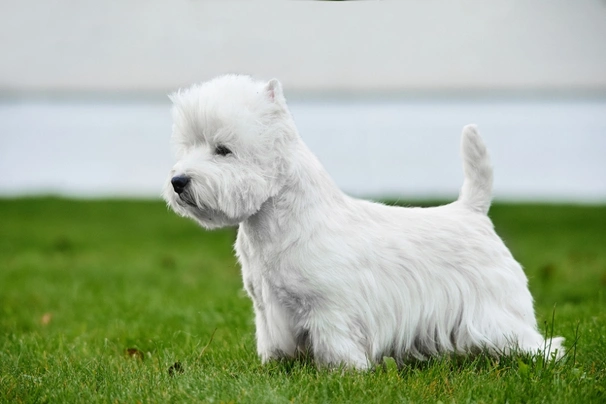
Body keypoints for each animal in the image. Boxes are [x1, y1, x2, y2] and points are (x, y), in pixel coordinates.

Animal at [165, 74, 564, 368]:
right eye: (188, 146)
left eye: (223, 150)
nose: (178, 181)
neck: (275, 225)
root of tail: (472, 210)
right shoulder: (267, 307)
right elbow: (273, 341)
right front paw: (276, 363)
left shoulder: (329, 307)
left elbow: (336, 343)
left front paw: (344, 371)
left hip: (495, 307)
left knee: (531, 338)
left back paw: (542, 357)